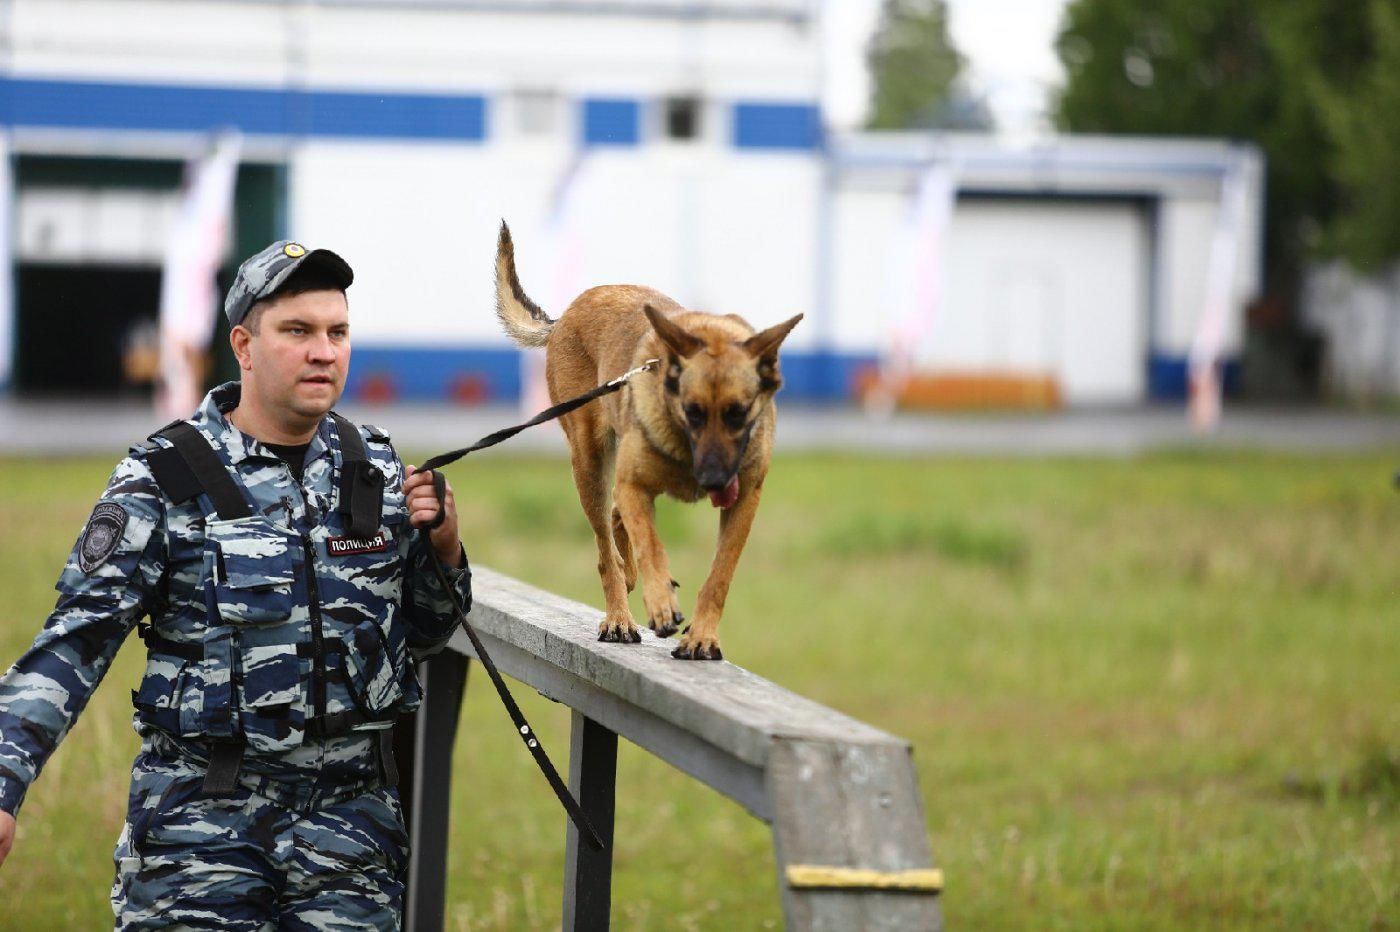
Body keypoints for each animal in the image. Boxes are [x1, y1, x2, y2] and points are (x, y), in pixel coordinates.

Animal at [492, 223, 800, 660]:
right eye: (692, 411)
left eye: (738, 412)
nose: (714, 481)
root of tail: (569, 312)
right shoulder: (635, 485)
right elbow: (650, 546)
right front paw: (660, 605)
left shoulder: (744, 501)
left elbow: (720, 574)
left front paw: (702, 636)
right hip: (590, 464)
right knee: (606, 548)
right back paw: (619, 617)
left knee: (615, 522)